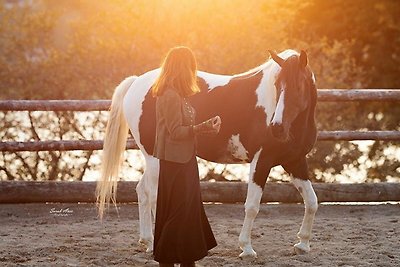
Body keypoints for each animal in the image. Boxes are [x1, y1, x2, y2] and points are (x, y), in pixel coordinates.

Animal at [96, 49, 318, 258]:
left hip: (157, 159)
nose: (276, 127)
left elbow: (312, 201)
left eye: (299, 86)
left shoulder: (295, 162)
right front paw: (246, 248)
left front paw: (303, 244)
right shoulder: (261, 161)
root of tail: (136, 83)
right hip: (154, 159)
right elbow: (252, 206)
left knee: (142, 191)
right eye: (278, 85)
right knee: (152, 195)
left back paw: (147, 242)